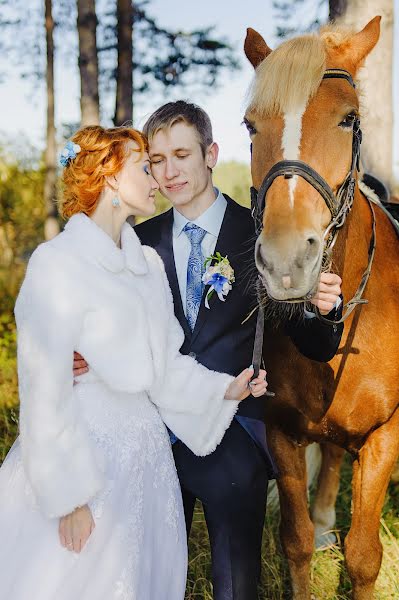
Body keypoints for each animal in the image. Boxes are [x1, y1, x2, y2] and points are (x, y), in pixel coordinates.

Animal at [244, 16, 399, 596]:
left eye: (348, 118)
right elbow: (297, 541)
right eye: (250, 126)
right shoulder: (282, 431)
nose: (286, 261)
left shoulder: (384, 437)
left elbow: (363, 557)